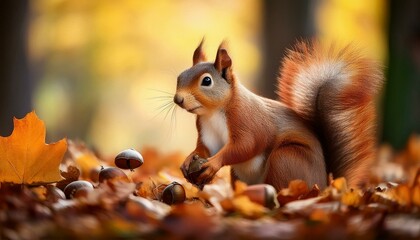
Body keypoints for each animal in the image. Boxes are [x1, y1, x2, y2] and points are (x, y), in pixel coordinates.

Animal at [172, 39, 382, 189]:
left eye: (207, 81)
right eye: (180, 76)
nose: (178, 99)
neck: (214, 112)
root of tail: (323, 185)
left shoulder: (247, 119)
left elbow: (246, 145)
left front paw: (214, 164)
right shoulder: (206, 130)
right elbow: (206, 148)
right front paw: (190, 158)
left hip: (286, 159)